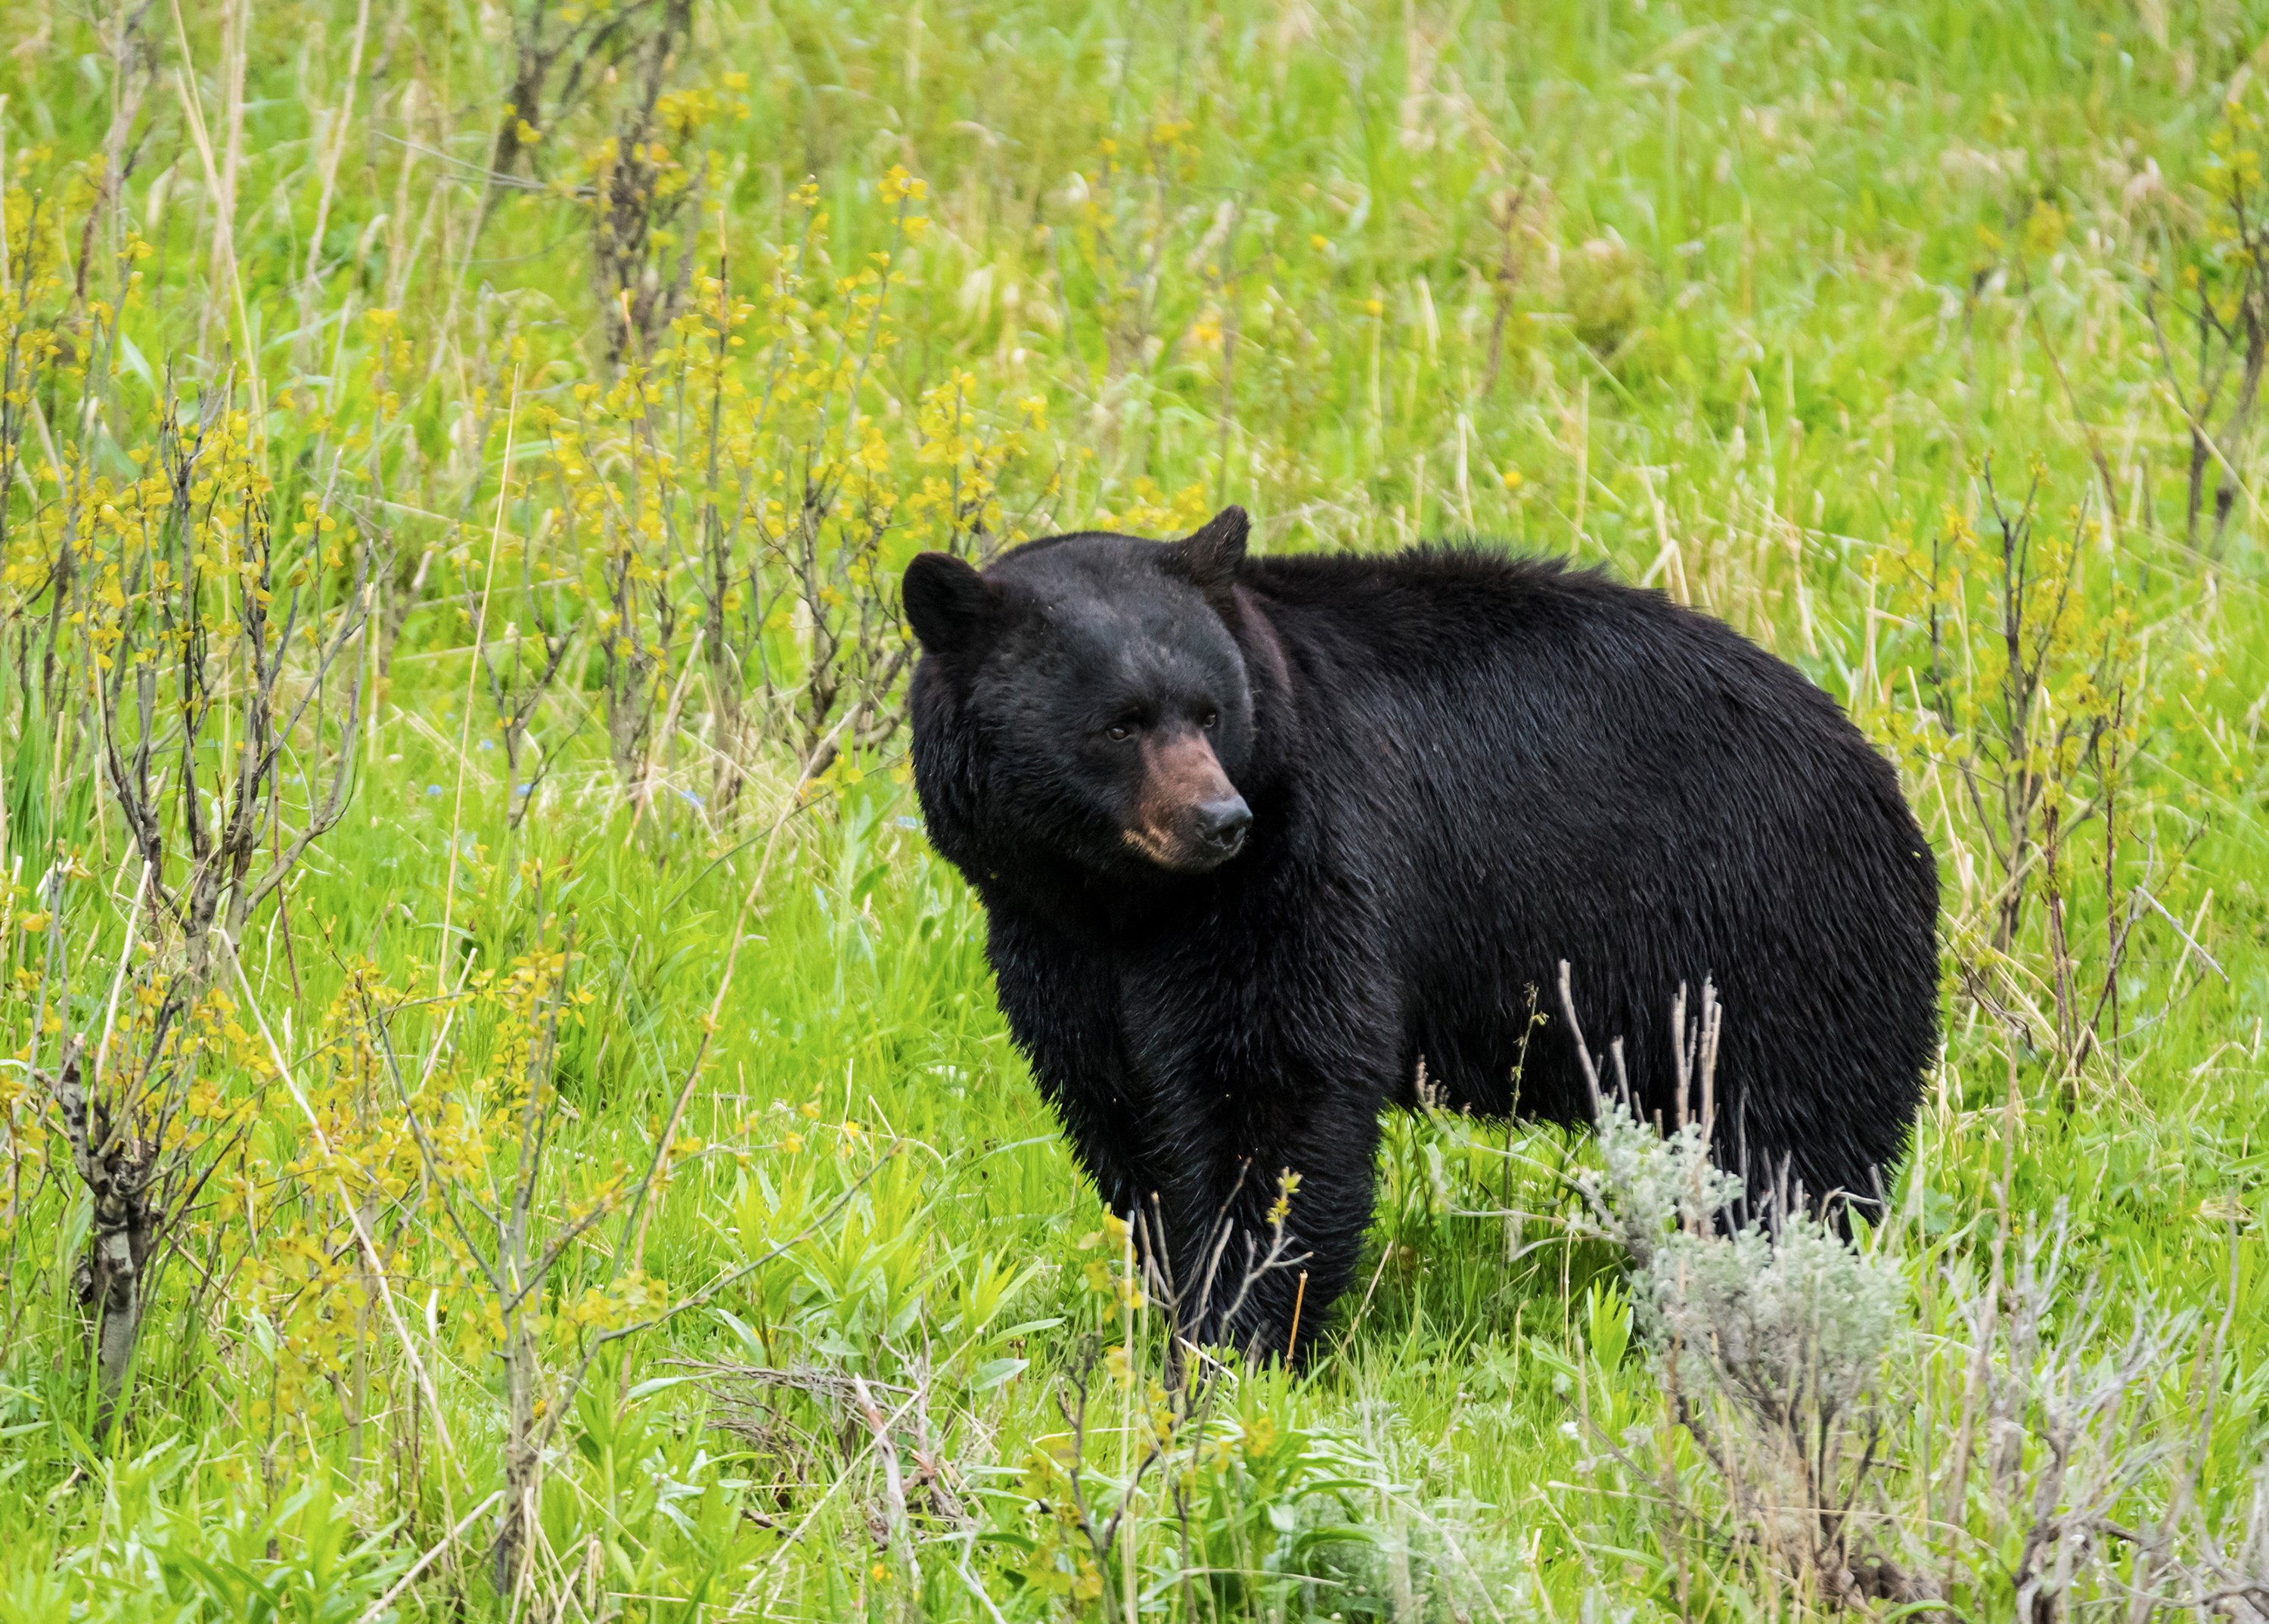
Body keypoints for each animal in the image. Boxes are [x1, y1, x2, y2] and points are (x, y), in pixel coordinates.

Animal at [902, 507, 1939, 1362]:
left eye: (1209, 709)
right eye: (1118, 724)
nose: (1220, 820)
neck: (1127, 900)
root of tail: (1881, 780)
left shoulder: (1301, 860)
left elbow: (1272, 1084)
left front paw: (1233, 1335)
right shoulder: (1050, 938)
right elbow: (1123, 1107)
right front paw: (1177, 1294)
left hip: (1769, 946)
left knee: (1784, 1149)